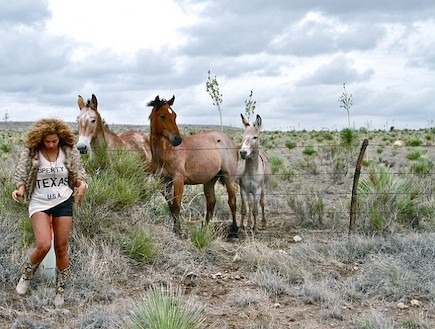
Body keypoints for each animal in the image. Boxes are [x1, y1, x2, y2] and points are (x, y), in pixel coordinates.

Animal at [148, 95, 240, 236]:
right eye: (162, 116)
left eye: (174, 115)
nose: (177, 140)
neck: (165, 151)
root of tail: (230, 141)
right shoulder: (163, 182)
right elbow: (171, 206)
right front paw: (176, 230)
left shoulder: (178, 180)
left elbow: (176, 205)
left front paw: (179, 231)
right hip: (210, 180)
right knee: (211, 203)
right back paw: (204, 230)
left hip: (228, 177)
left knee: (232, 201)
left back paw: (234, 231)